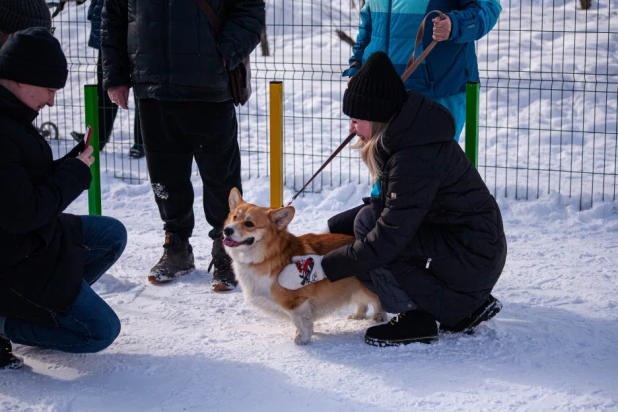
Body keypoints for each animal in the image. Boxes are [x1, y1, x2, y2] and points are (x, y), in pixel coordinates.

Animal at [221, 189, 384, 344]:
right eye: (234, 217)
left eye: (249, 224)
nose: (227, 230)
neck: (267, 256)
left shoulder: (296, 302)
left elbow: (301, 321)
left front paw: (303, 338)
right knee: (362, 301)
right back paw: (358, 314)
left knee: (377, 299)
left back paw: (379, 316)